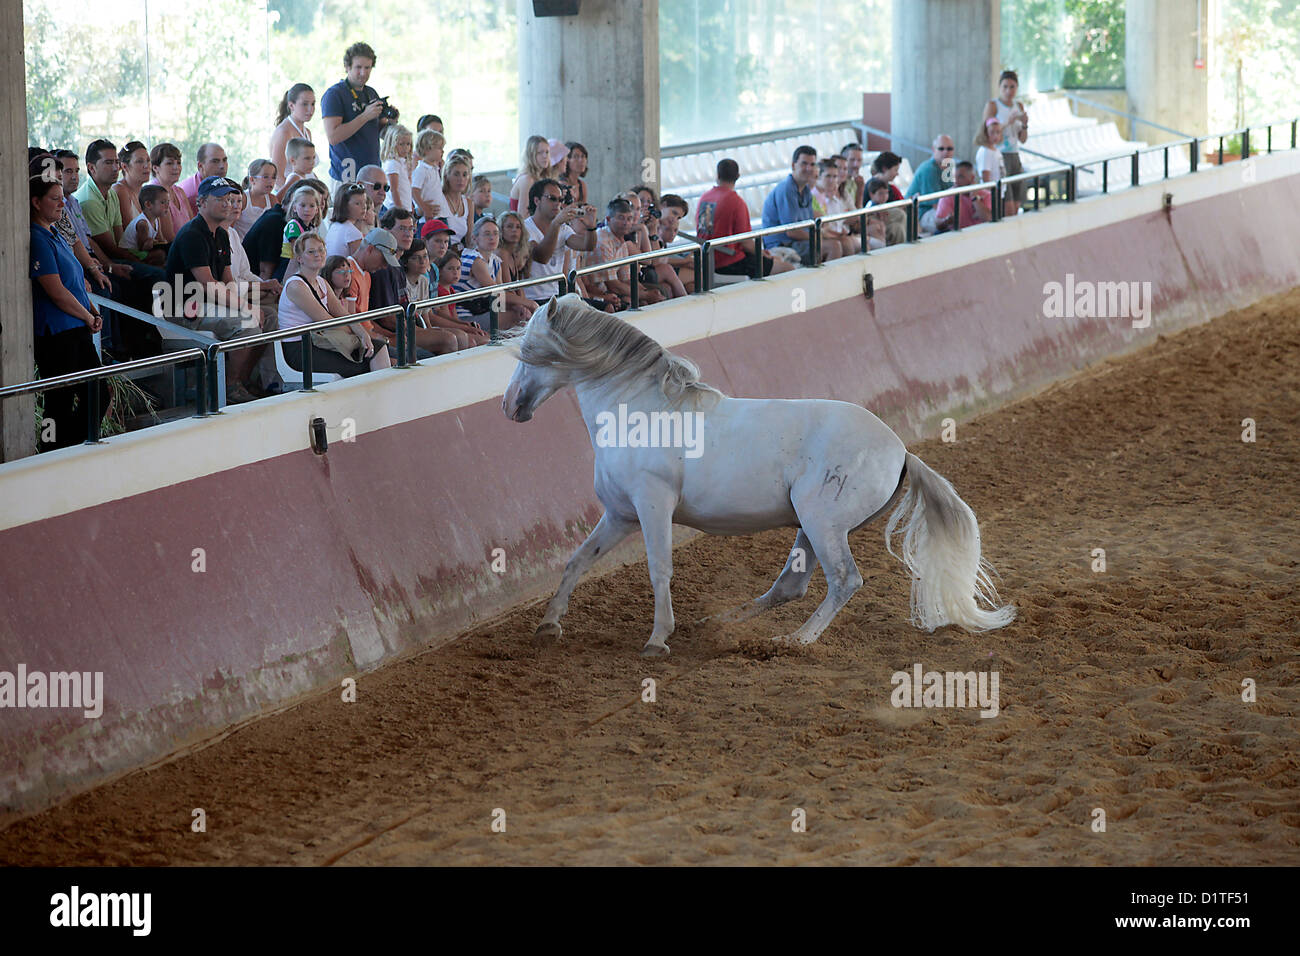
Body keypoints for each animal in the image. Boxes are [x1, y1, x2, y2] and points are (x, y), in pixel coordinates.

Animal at [502, 294, 1015, 657]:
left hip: (823, 524)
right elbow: (576, 561)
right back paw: (719, 623)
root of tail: (900, 451)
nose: (510, 406)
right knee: (791, 586)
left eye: (530, 352)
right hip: (809, 526)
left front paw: (656, 639)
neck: (641, 411)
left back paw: (794, 641)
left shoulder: (653, 507)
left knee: (844, 581)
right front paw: (549, 624)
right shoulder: (620, 515)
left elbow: (659, 568)